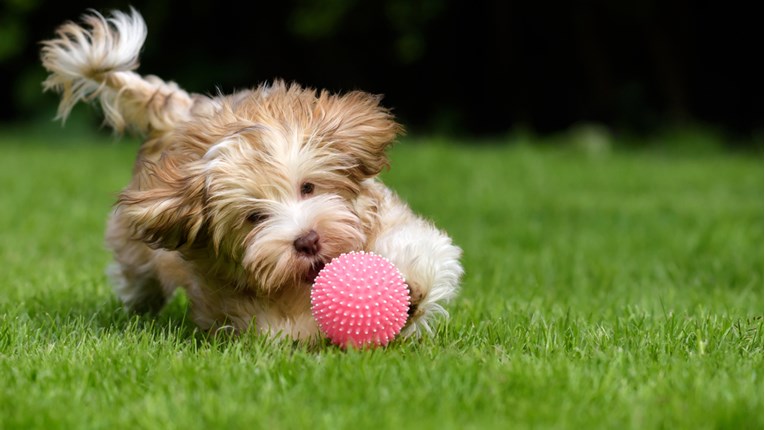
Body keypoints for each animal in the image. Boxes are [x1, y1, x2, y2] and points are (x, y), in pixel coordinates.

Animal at [41, 8, 462, 340]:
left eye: (308, 187)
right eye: (255, 217)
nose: (307, 240)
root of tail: (177, 115)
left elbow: (420, 247)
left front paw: (408, 290)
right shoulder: (228, 295)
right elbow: (278, 327)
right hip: (135, 248)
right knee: (137, 276)